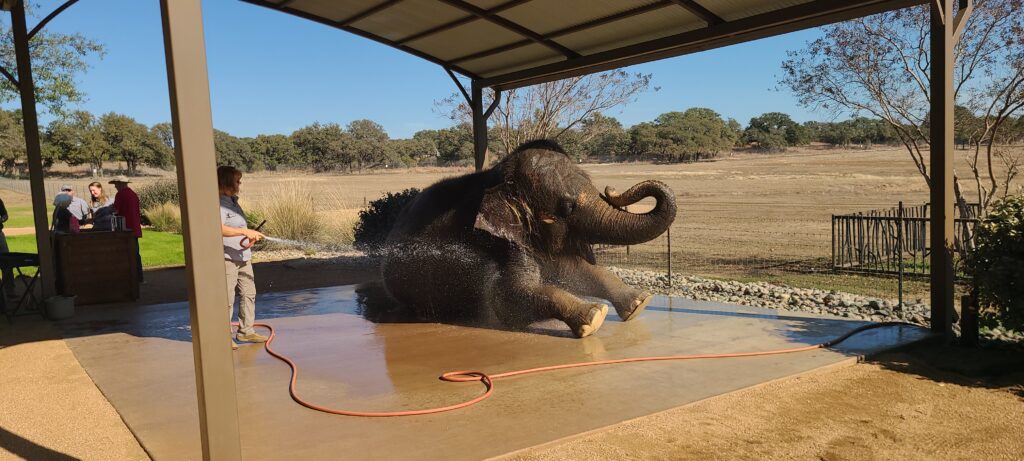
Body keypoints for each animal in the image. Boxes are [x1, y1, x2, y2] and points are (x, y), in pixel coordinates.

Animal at [380, 139, 677, 338]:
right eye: (566, 207)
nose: (612, 188)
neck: (497, 179)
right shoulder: (498, 243)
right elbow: (506, 298)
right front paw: (594, 316)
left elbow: (573, 271)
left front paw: (639, 304)